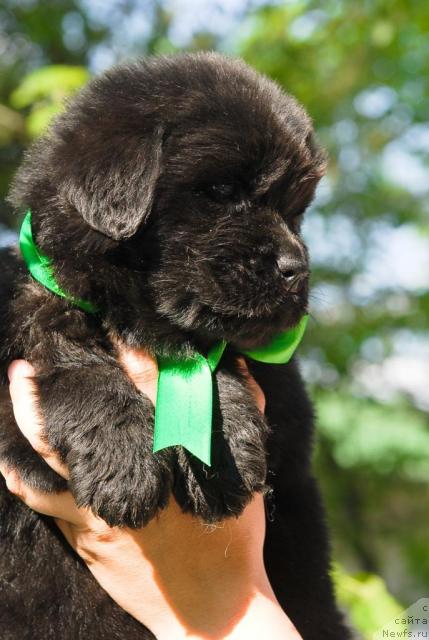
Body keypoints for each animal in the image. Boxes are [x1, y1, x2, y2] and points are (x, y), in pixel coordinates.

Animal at [0, 52, 348, 636]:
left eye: (295, 211)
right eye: (221, 193)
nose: (295, 269)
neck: (141, 320)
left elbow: (220, 359)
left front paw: (222, 452)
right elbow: (68, 354)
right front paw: (124, 461)